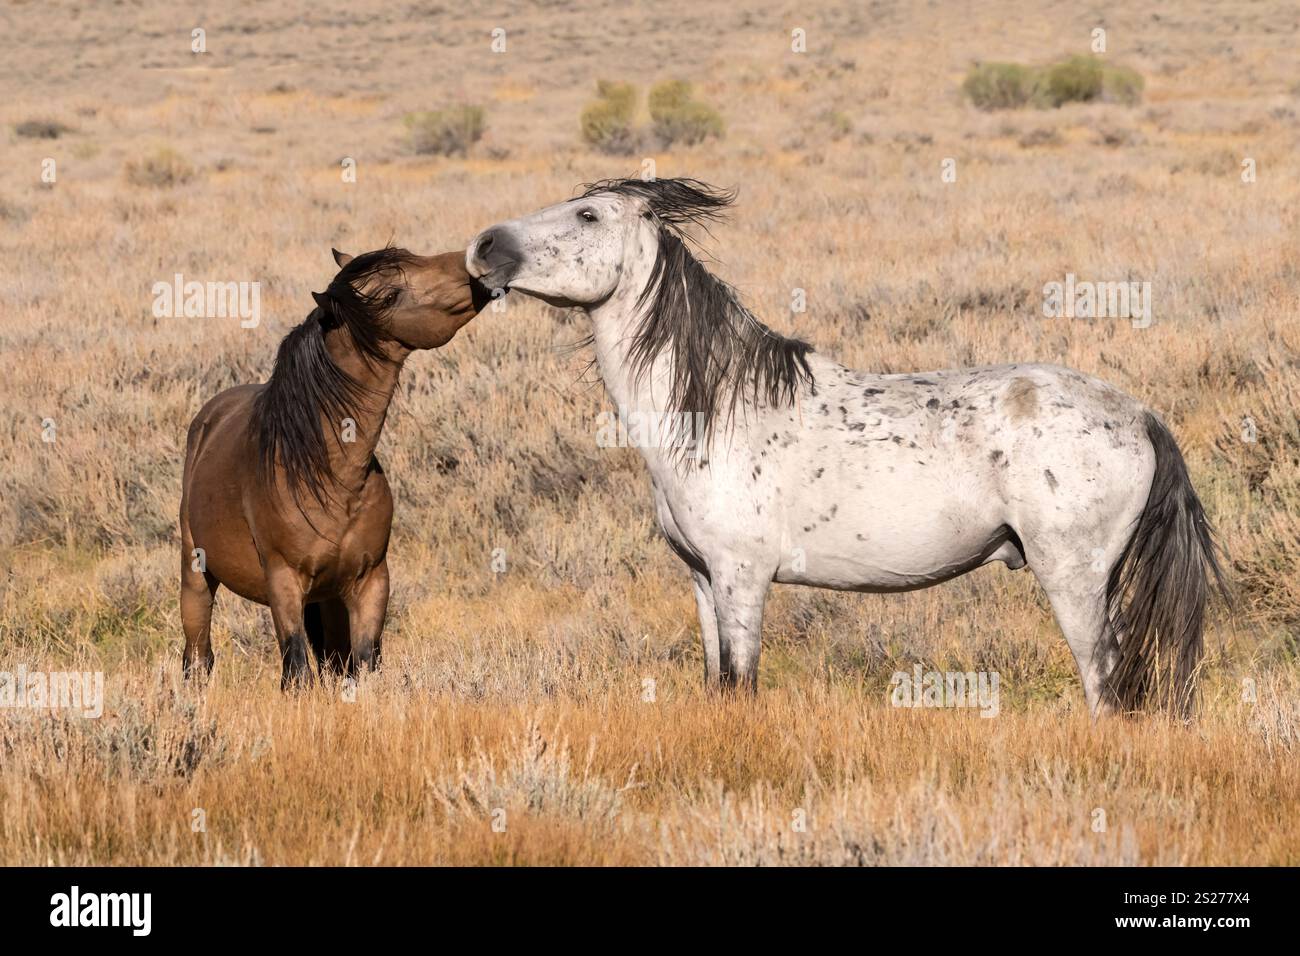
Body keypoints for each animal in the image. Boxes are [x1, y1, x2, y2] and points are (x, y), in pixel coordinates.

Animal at [180, 247, 488, 688]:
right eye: (390, 295)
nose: (476, 263)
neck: (330, 475)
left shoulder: (370, 581)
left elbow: (364, 665)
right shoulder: (283, 580)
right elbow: (296, 671)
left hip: (328, 598)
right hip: (196, 573)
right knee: (198, 654)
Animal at [466, 177, 1229, 717]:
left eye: (588, 217)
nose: (483, 247)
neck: (718, 411)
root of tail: (1140, 415)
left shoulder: (743, 579)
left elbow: (742, 684)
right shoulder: (703, 580)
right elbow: (717, 683)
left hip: (1074, 577)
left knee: (1105, 684)